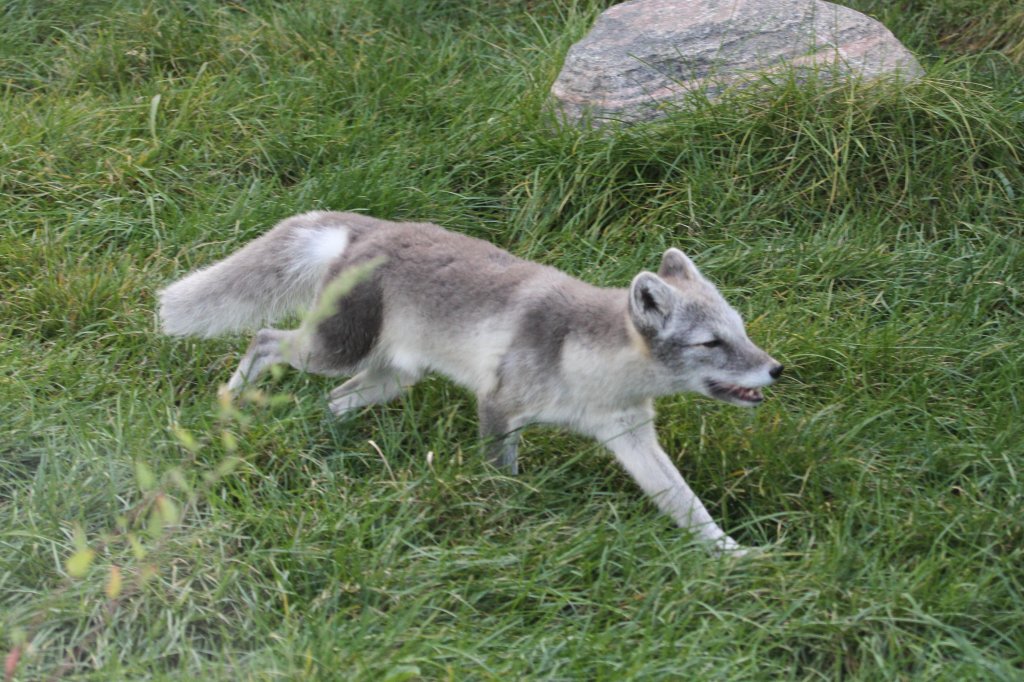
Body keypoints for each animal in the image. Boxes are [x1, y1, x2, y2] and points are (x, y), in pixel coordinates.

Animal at [161, 212, 782, 552]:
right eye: (711, 343)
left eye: (741, 330)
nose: (777, 369)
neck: (593, 372)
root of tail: (371, 228)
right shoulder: (498, 407)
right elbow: (502, 478)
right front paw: (506, 522)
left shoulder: (628, 434)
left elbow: (685, 504)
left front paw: (733, 555)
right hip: (332, 352)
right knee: (265, 338)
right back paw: (230, 399)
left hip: (392, 376)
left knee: (334, 402)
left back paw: (328, 446)